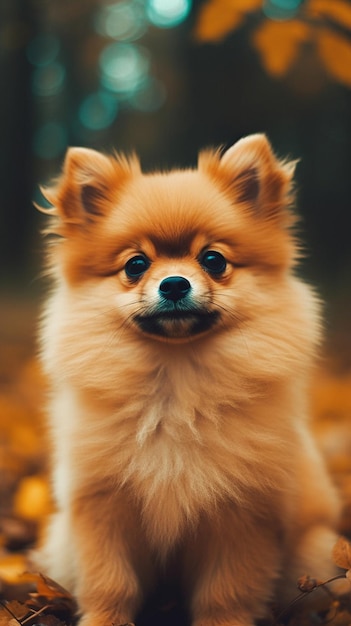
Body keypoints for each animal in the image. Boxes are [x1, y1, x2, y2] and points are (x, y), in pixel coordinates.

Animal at [35, 135, 344, 624]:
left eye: (213, 260)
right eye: (136, 265)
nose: (175, 284)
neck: (175, 383)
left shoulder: (240, 514)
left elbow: (225, 591)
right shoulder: (102, 506)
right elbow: (110, 582)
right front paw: (105, 618)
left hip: (314, 550)